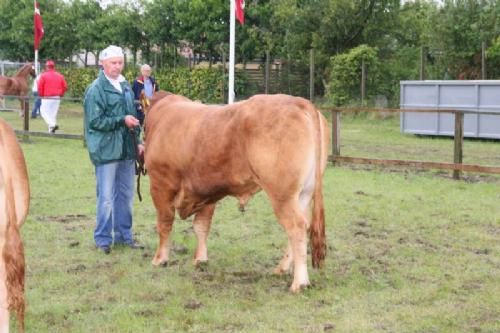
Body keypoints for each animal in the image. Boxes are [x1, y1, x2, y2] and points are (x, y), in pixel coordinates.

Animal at [145, 92, 330, 290]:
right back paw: (282, 269)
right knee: (302, 225)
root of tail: (299, 102)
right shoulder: (207, 191)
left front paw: (160, 259)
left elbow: (164, 224)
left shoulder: (160, 185)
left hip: (282, 195)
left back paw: (299, 283)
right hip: (304, 193)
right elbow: (201, 226)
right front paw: (200, 260)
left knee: (296, 227)